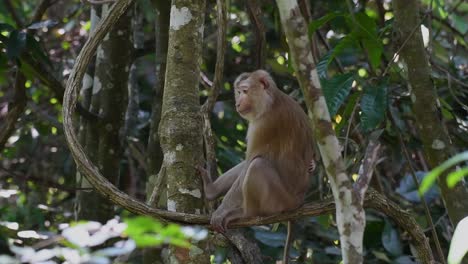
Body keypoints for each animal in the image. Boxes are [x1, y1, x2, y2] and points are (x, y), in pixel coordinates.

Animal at [198, 69, 314, 262]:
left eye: (245, 91)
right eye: (238, 92)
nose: (237, 102)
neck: (271, 100)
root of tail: (299, 201)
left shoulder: (264, 124)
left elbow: (251, 161)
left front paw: (221, 211)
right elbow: (246, 164)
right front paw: (213, 193)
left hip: (280, 200)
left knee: (257, 165)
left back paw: (247, 213)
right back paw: (211, 190)